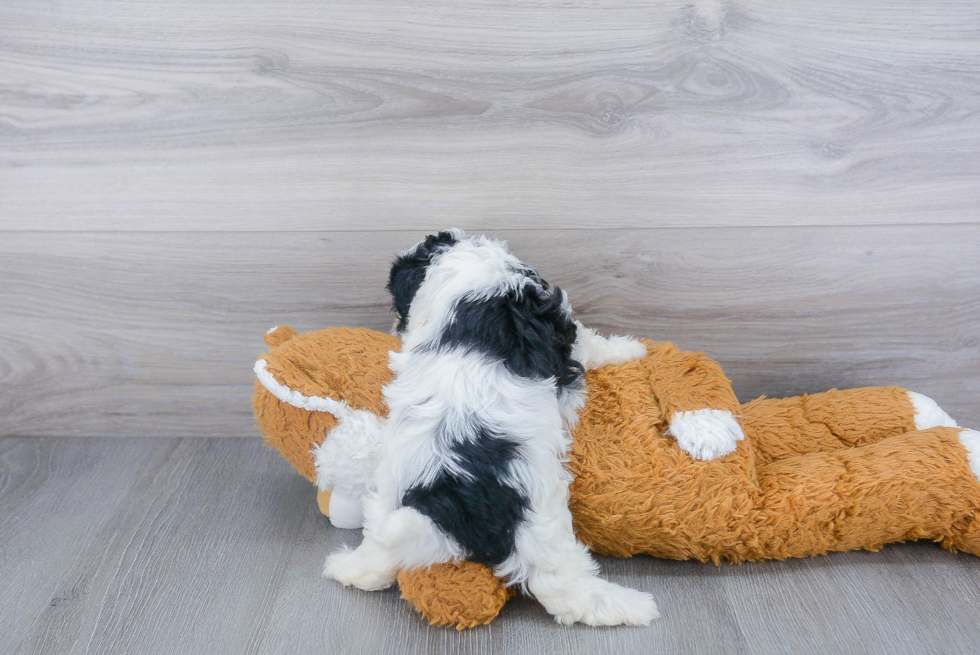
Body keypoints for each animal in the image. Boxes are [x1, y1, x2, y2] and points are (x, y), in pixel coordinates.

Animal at [324, 229, 660, 624]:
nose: (394, 325)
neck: (469, 274)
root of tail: (447, 494)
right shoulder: (562, 328)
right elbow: (590, 344)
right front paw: (629, 349)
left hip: (387, 495)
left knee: (380, 552)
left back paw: (346, 568)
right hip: (538, 520)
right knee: (560, 587)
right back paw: (631, 605)